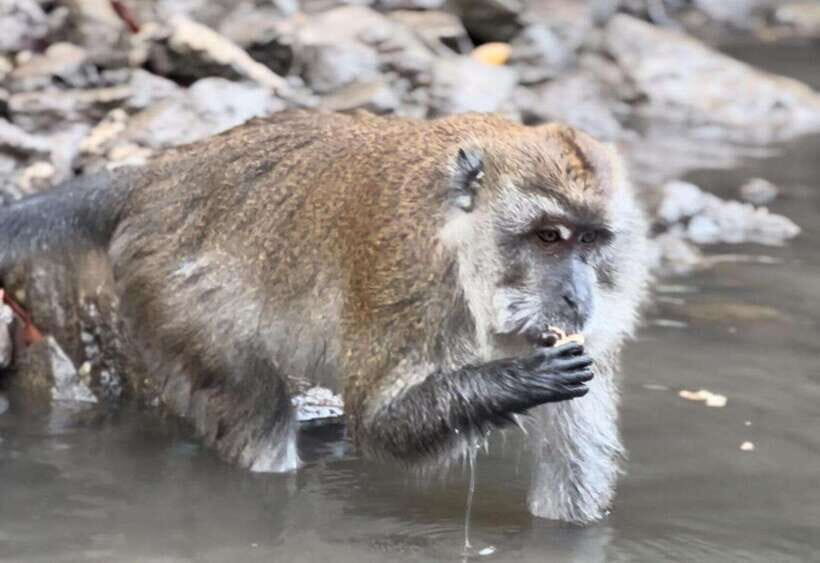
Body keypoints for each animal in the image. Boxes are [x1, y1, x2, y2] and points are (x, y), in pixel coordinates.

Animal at [0, 110, 650, 523]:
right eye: (548, 236)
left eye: (591, 240)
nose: (578, 297)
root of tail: (163, 175)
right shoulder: (405, 277)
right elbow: (380, 425)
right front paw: (517, 382)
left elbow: (572, 489)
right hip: (171, 290)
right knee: (254, 405)